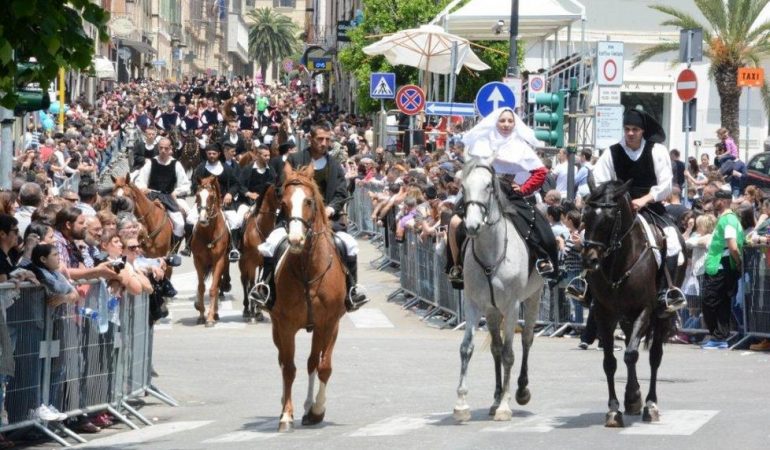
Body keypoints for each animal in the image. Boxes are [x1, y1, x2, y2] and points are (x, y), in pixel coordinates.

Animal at [190, 176, 230, 326]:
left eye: (211, 197)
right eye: (197, 196)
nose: (203, 219)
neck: (208, 234)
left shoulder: (219, 261)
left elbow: (213, 288)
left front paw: (210, 318)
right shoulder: (198, 261)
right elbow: (201, 287)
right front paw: (201, 314)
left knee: (217, 286)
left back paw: (216, 313)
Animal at [240, 185, 280, 322]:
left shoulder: (264, 263)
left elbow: (259, 283)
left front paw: (258, 310)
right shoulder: (251, 263)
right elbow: (252, 283)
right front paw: (252, 310)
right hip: (243, 263)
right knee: (244, 281)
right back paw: (247, 309)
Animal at [268, 163, 344, 432]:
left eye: (309, 201)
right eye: (284, 202)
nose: (296, 240)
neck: (308, 268)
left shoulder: (329, 324)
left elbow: (324, 366)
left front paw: (317, 410)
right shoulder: (285, 326)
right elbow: (289, 368)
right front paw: (286, 415)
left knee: (312, 362)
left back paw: (309, 408)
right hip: (277, 328)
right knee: (283, 361)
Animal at [452, 158, 544, 422]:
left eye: (488, 186)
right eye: (463, 187)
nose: (472, 225)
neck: (491, 255)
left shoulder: (512, 306)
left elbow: (509, 354)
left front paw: (505, 405)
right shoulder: (473, 304)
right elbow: (467, 348)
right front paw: (461, 404)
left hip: (533, 298)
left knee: (526, 339)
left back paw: (520, 391)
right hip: (492, 311)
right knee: (495, 348)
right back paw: (494, 398)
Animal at [580, 178, 680, 426]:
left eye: (609, 218)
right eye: (585, 215)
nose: (589, 260)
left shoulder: (645, 310)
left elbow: (632, 354)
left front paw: (637, 401)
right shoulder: (604, 313)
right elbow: (610, 362)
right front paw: (615, 409)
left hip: (659, 317)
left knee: (654, 356)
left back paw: (650, 404)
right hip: (624, 317)